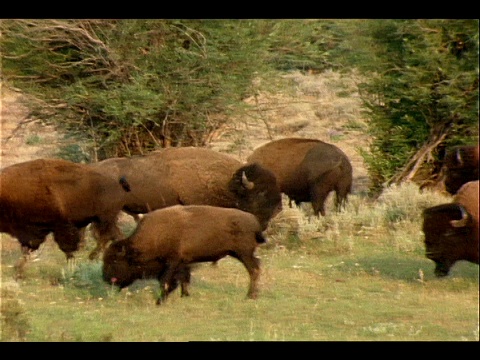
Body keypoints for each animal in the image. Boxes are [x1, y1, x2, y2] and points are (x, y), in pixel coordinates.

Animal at [102, 205, 266, 304]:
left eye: (115, 261)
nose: (106, 278)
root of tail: (254, 221)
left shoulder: (171, 262)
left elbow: (165, 281)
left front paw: (159, 301)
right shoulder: (182, 263)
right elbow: (184, 279)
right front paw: (185, 295)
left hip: (244, 254)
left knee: (253, 270)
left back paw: (250, 296)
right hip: (241, 254)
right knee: (256, 267)